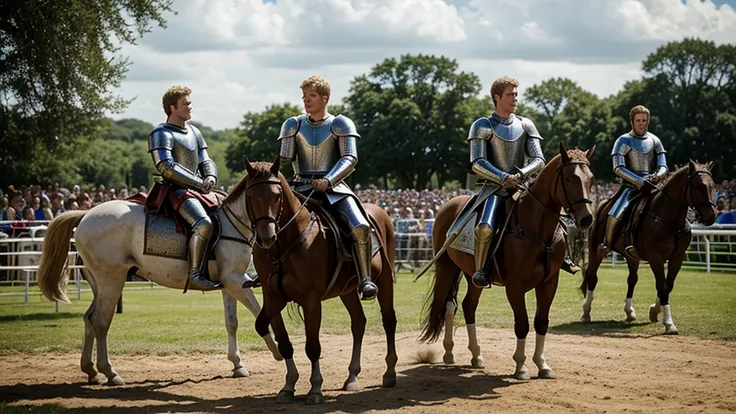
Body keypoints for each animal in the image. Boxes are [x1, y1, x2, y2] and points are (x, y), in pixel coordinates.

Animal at [38, 183, 284, 386]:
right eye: (258, 197)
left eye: (277, 198)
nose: (270, 236)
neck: (231, 223)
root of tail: (86, 214)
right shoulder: (236, 281)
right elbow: (259, 312)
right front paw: (277, 350)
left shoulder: (229, 284)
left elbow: (231, 323)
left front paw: (237, 364)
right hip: (112, 282)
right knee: (100, 323)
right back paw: (110, 372)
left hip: (100, 284)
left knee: (89, 319)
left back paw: (90, 370)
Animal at [242, 156, 396, 404]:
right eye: (249, 196)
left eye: (276, 196)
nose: (267, 237)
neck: (285, 243)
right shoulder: (272, 297)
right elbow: (280, 340)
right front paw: (289, 385)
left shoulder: (311, 300)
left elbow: (312, 346)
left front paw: (315, 388)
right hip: (347, 291)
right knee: (359, 323)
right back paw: (352, 376)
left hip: (384, 282)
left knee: (389, 321)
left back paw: (390, 372)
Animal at [416, 143, 596, 382]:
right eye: (569, 178)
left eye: (591, 178)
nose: (586, 219)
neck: (535, 227)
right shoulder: (515, 286)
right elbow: (522, 324)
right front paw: (521, 366)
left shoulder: (549, 283)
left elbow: (541, 322)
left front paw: (542, 364)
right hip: (446, 267)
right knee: (447, 305)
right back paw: (448, 352)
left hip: (472, 275)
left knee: (467, 306)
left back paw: (476, 355)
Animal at [576, 160, 716, 334]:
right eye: (699, 186)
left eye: (712, 185)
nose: (712, 217)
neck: (669, 219)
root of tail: (600, 206)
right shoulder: (655, 257)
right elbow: (662, 286)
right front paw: (669, 323)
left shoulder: (677, 257)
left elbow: (668, 285)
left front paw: (655, 310)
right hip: (596, 251)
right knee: (592, 277)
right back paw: (586, 312)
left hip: (631, 256)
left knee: (632, 279)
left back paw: (629, 311)